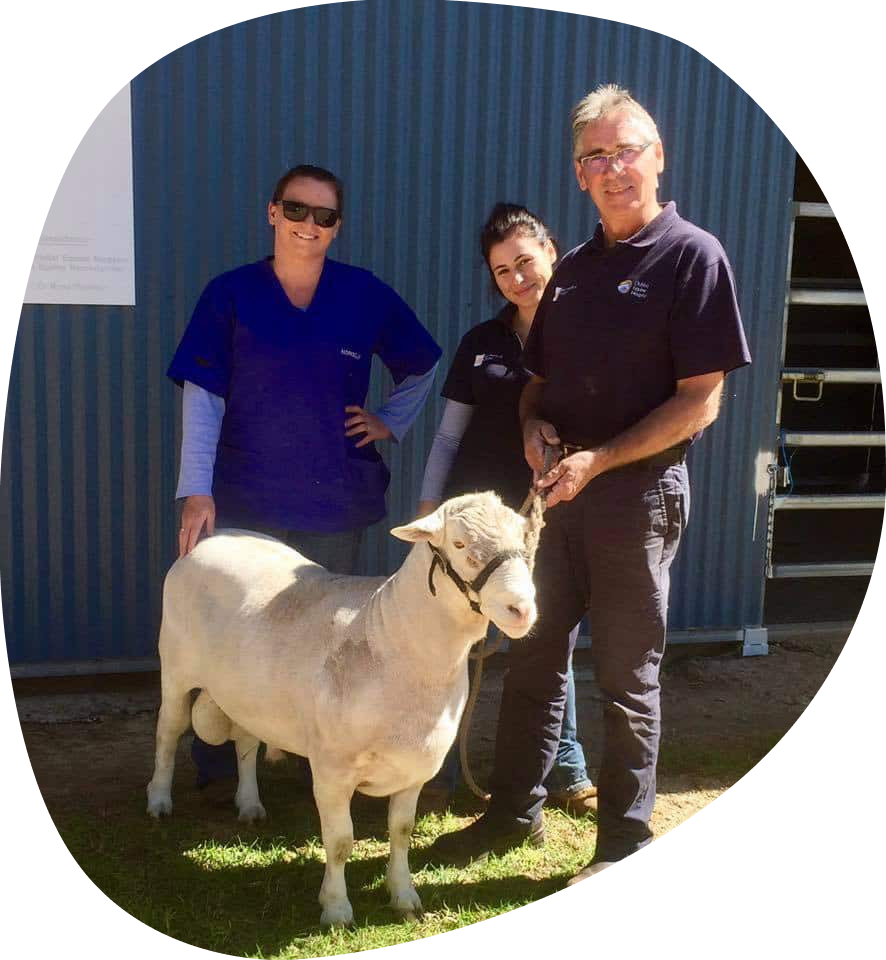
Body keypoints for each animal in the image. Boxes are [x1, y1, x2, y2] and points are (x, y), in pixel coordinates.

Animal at [146, 492, 538, 926]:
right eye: (459, 543)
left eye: (525, 539)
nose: (522, 609)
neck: (390, 636)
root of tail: (212, 536)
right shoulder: (332, 770)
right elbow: (339, 842)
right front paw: (336, 909)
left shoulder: (415, 768)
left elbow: (401, 831)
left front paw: (404, 897)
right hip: (175, 668)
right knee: (168, 733)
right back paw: (159, 800)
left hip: (248, 691)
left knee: (246, 741)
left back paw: (249, 804)